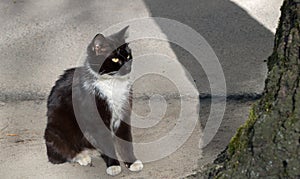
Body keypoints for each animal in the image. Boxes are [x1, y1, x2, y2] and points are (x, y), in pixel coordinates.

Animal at [44, 26, 144, 176]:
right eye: (115, 59)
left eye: (128, 56)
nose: (128, 67)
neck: (113, 83)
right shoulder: (96, 119)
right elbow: (107, 143)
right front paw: (113, 165)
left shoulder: (124, 113)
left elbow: (126, 140)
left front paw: (131, 162)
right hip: (56, 130)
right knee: (57, 155)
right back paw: (82, 156)